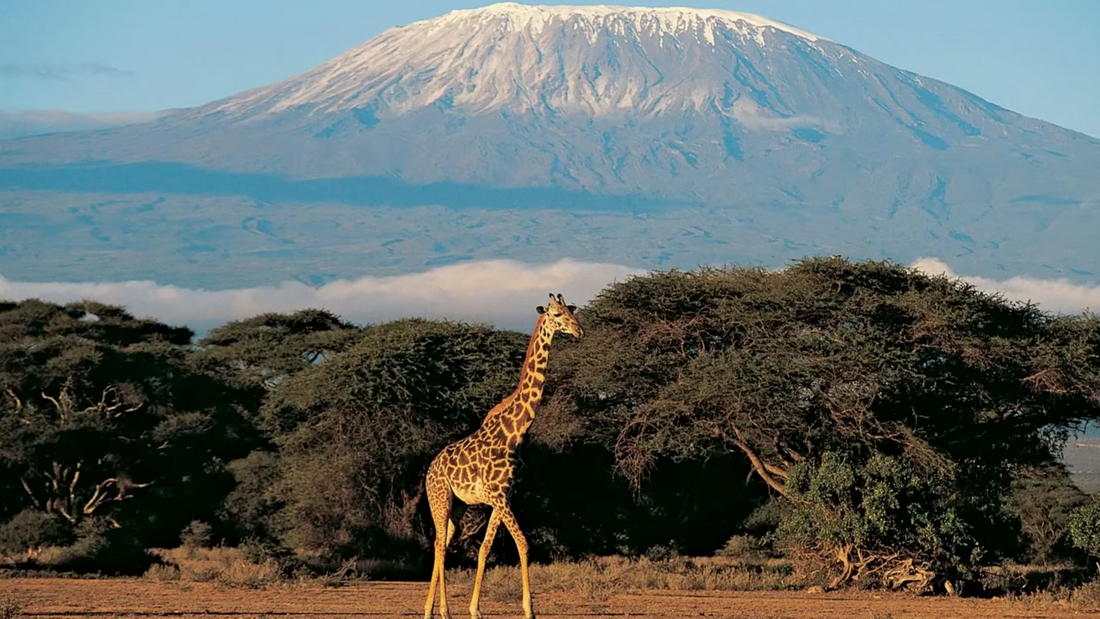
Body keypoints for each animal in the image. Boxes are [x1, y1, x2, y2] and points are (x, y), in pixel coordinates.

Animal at [423, 292, 584, 619]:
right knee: (439, 544)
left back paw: (429, 609)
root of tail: (429, 470)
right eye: (557, 314)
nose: (579, 331)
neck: (515, 432)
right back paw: (442, 609)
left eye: (572, 311)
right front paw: (529, 609)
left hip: (458, 506)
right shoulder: (498, 496)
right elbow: (523, 543)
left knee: (441, 542)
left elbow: (485, 547)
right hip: (439, 498)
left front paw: (475, 608)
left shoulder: (503, 496)